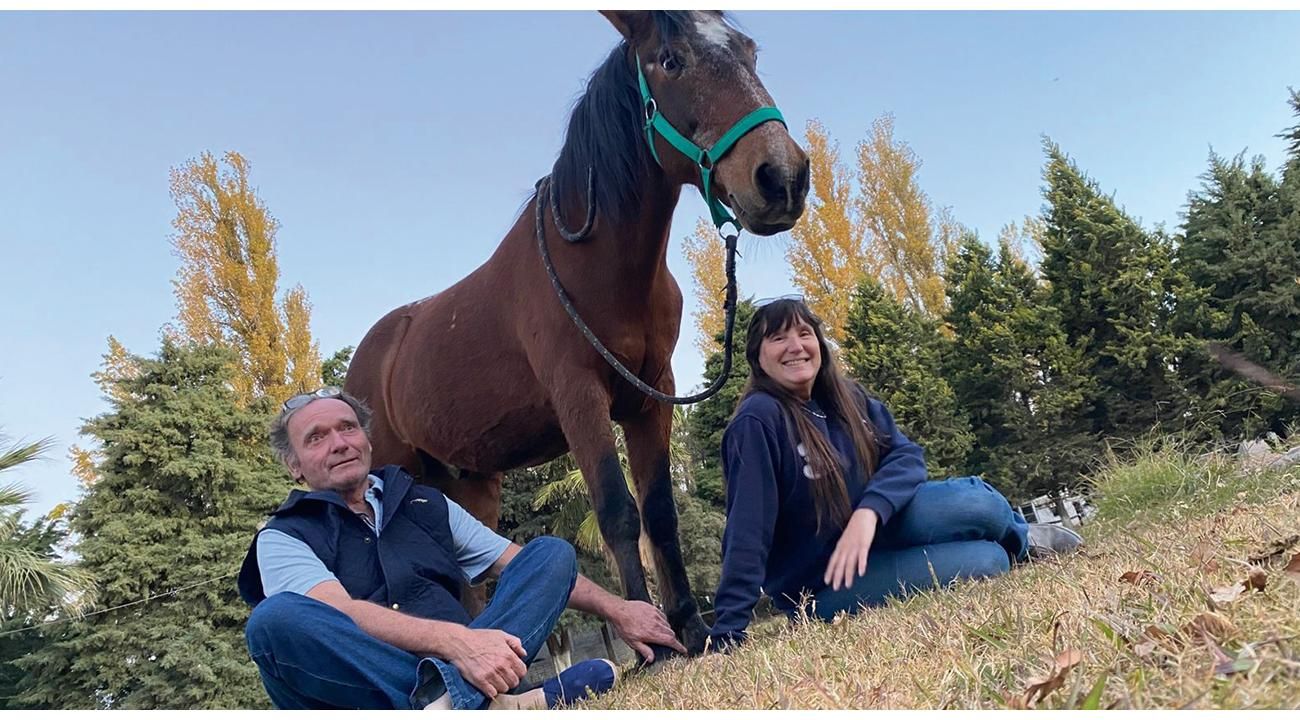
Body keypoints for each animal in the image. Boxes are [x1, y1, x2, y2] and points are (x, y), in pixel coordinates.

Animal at [344, 10, 809, 658]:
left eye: (749, 50)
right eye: (671, 60)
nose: (782, 177)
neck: (595, 267)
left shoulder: (652, 397)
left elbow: (659, 512)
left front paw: (691, 629)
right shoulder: (579, 394)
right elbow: (617, 510)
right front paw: (650, 644)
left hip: (469, 484)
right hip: (399, 470)